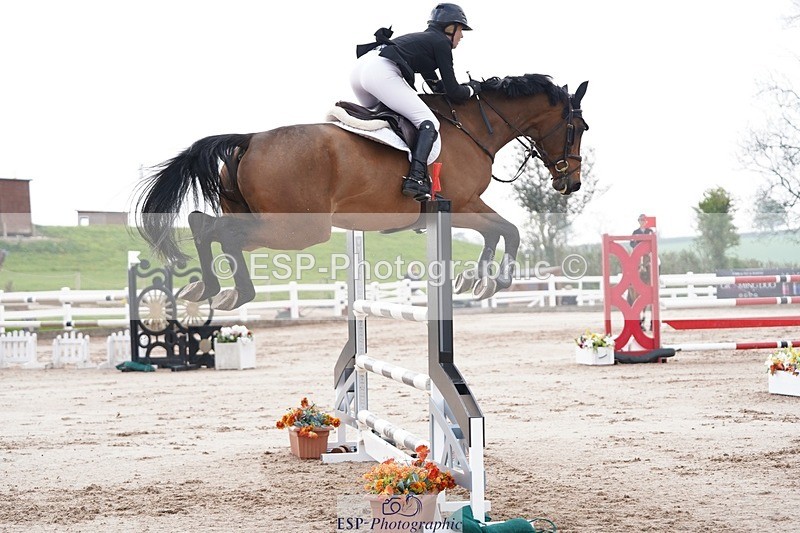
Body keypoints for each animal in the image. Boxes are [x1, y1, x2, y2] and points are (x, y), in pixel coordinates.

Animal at [136, 74, 589, 310]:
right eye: (580, 127)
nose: (571, 182)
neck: (474, 127)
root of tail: (250, 139)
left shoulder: (464, 206)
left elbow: (498, 230)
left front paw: (475, 281)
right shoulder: (459, 205)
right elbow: (509, 229)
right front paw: (492, 282)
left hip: (261, 219)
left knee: (204, 225)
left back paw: (209, 289)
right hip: (299, 229)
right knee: (219, 232)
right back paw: (231, 292)